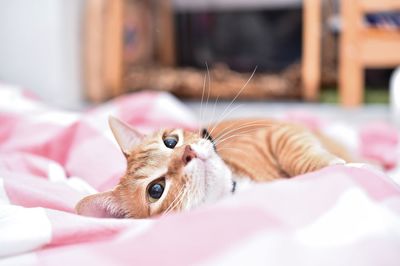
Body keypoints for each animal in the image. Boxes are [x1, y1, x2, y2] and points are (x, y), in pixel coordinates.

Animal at [74, 116, 350, 218]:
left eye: (170, 141)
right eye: (155, 190)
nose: (187, 152)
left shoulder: (275, 131)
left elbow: (297, 152)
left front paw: (330, 164)